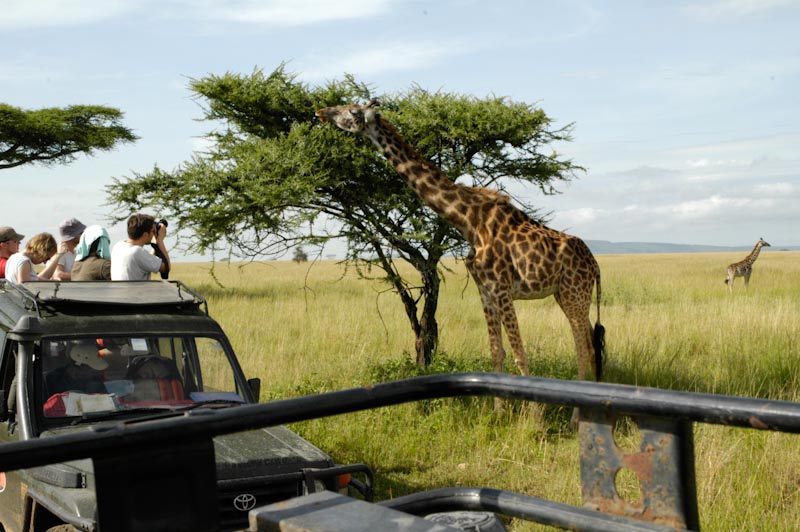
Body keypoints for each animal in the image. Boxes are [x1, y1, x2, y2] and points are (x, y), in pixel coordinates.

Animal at [316, 100, 604, 382]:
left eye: (352, 111)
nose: (322, 112)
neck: (469, 221)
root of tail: (595, 266)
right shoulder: (485, 290)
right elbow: (496, 352)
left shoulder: (501, 288)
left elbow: (520, 354)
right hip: (564, 294)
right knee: (590, 343)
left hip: (574, 293)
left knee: (583, 345)